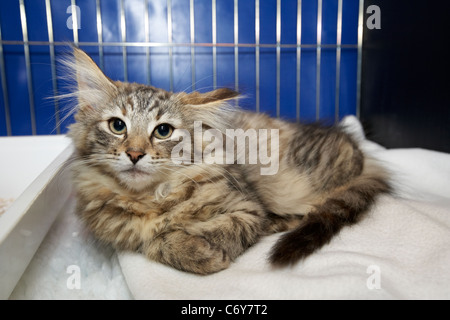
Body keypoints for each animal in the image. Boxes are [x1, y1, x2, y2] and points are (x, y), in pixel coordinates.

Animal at [64, 48, 390, 276]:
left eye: (163, 131)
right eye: (117, 126)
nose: (134, 153)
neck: (149, 198)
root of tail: (360, 151)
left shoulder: (248, 209)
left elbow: (210, 229)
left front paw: (200, 248)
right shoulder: (124, 235)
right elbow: (155, 241)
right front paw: (190, 248)